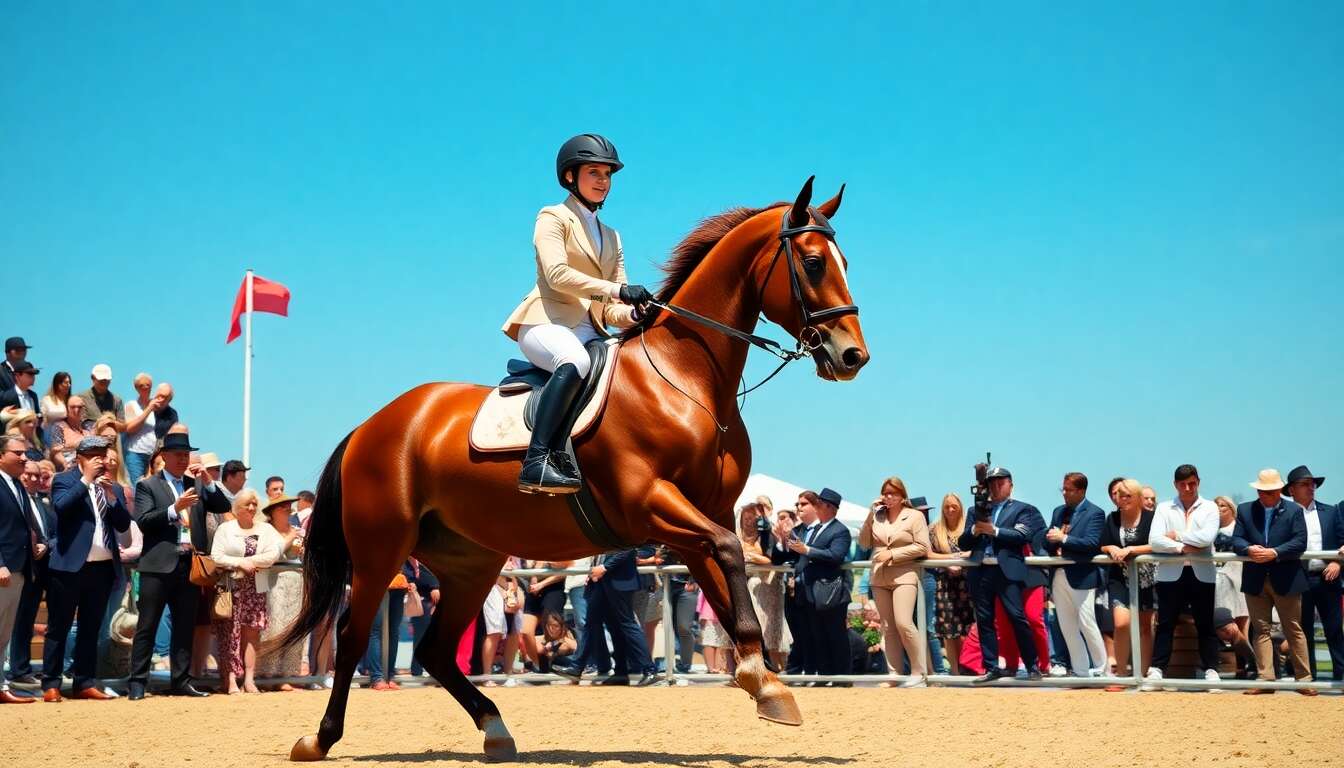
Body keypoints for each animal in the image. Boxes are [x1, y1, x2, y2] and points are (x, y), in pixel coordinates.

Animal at [283, 176, 870, 762]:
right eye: (814, 262)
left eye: (845, 261)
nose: (852, 357)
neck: (686, 380)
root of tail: (372, 425)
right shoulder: (651, 505)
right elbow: (729, 553)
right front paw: (761, 676)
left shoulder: (702, 517)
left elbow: (728, 578)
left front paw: (763, 682)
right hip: (381, 548)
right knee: (352, 635)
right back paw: (319, 738)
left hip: (471, 561)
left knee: (435, 649)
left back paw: (495, 729)